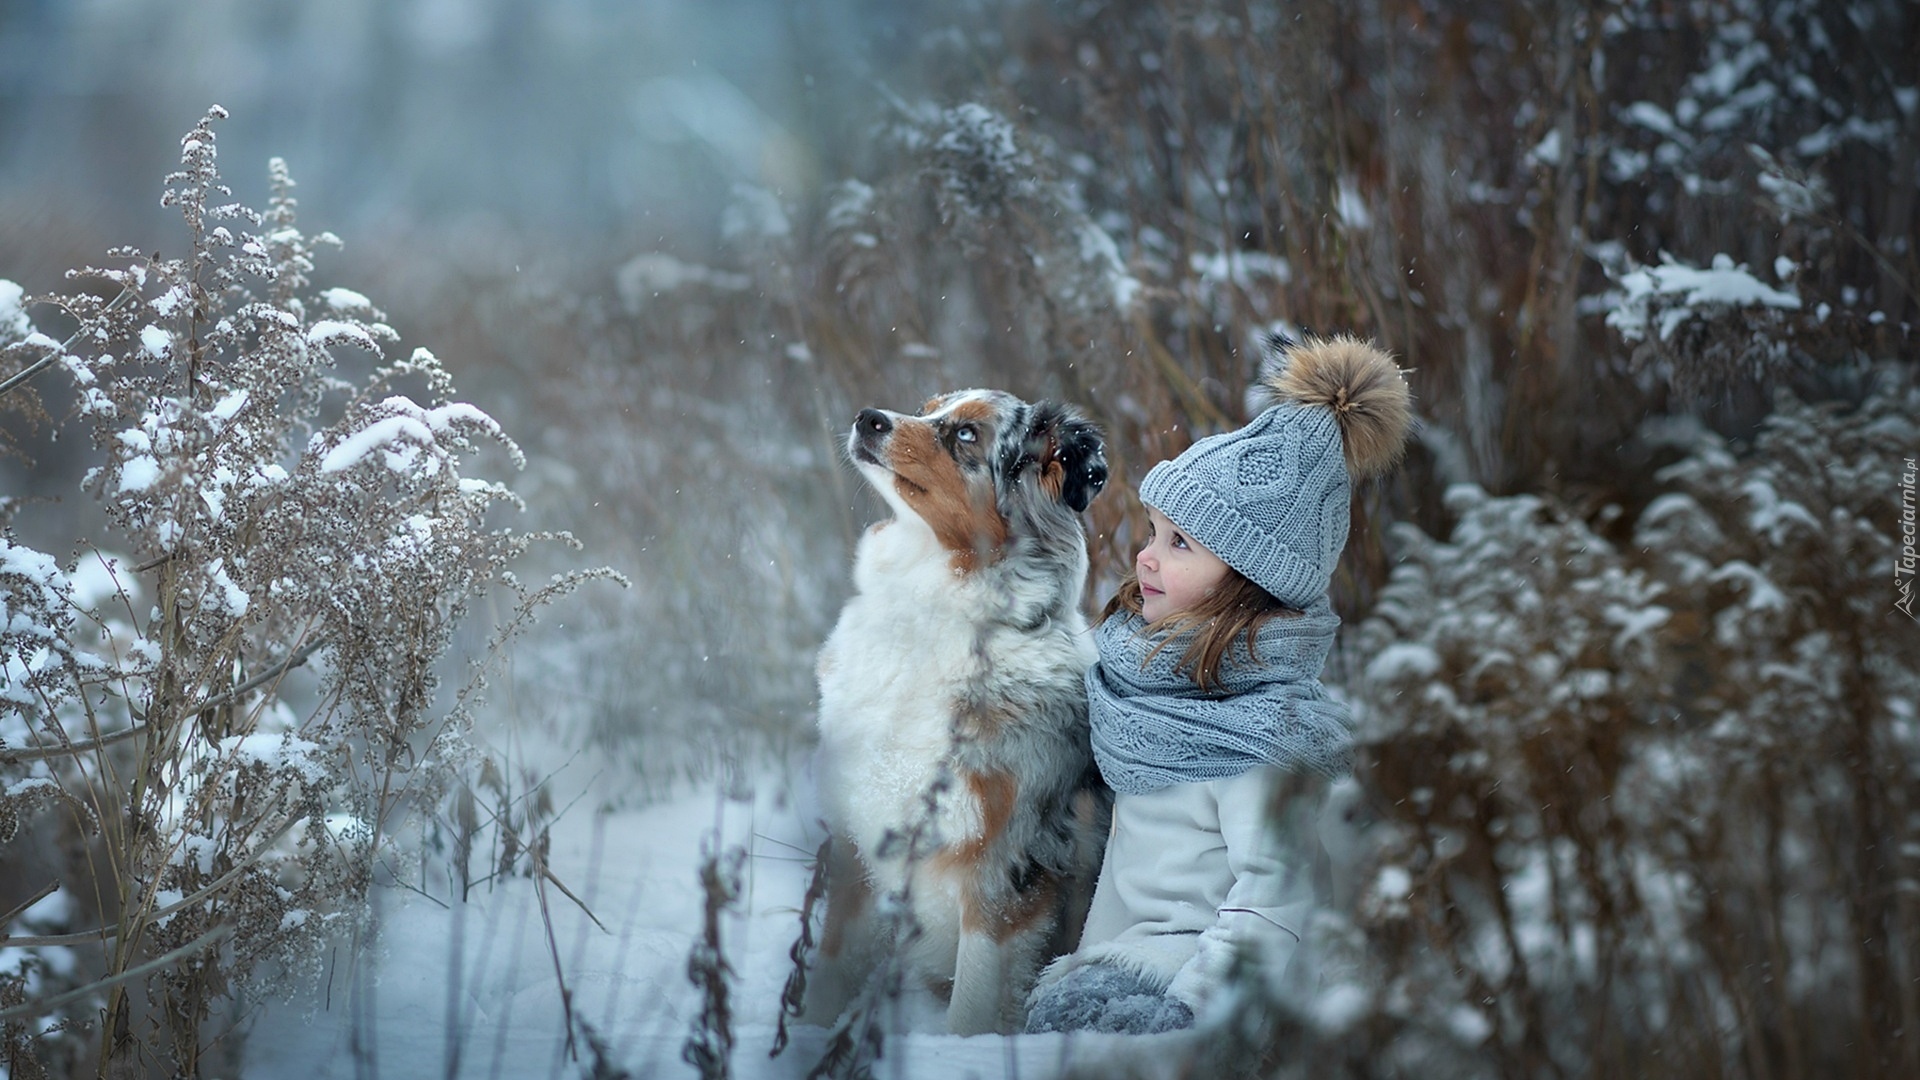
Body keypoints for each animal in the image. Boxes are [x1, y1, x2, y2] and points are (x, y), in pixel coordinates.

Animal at [802, 388, 1113, 1037]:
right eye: (927, 409)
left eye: (967, 435)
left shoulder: (1006, 870)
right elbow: (828, 974)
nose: (868, 418)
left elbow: (969, 1009)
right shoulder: (856, 842)